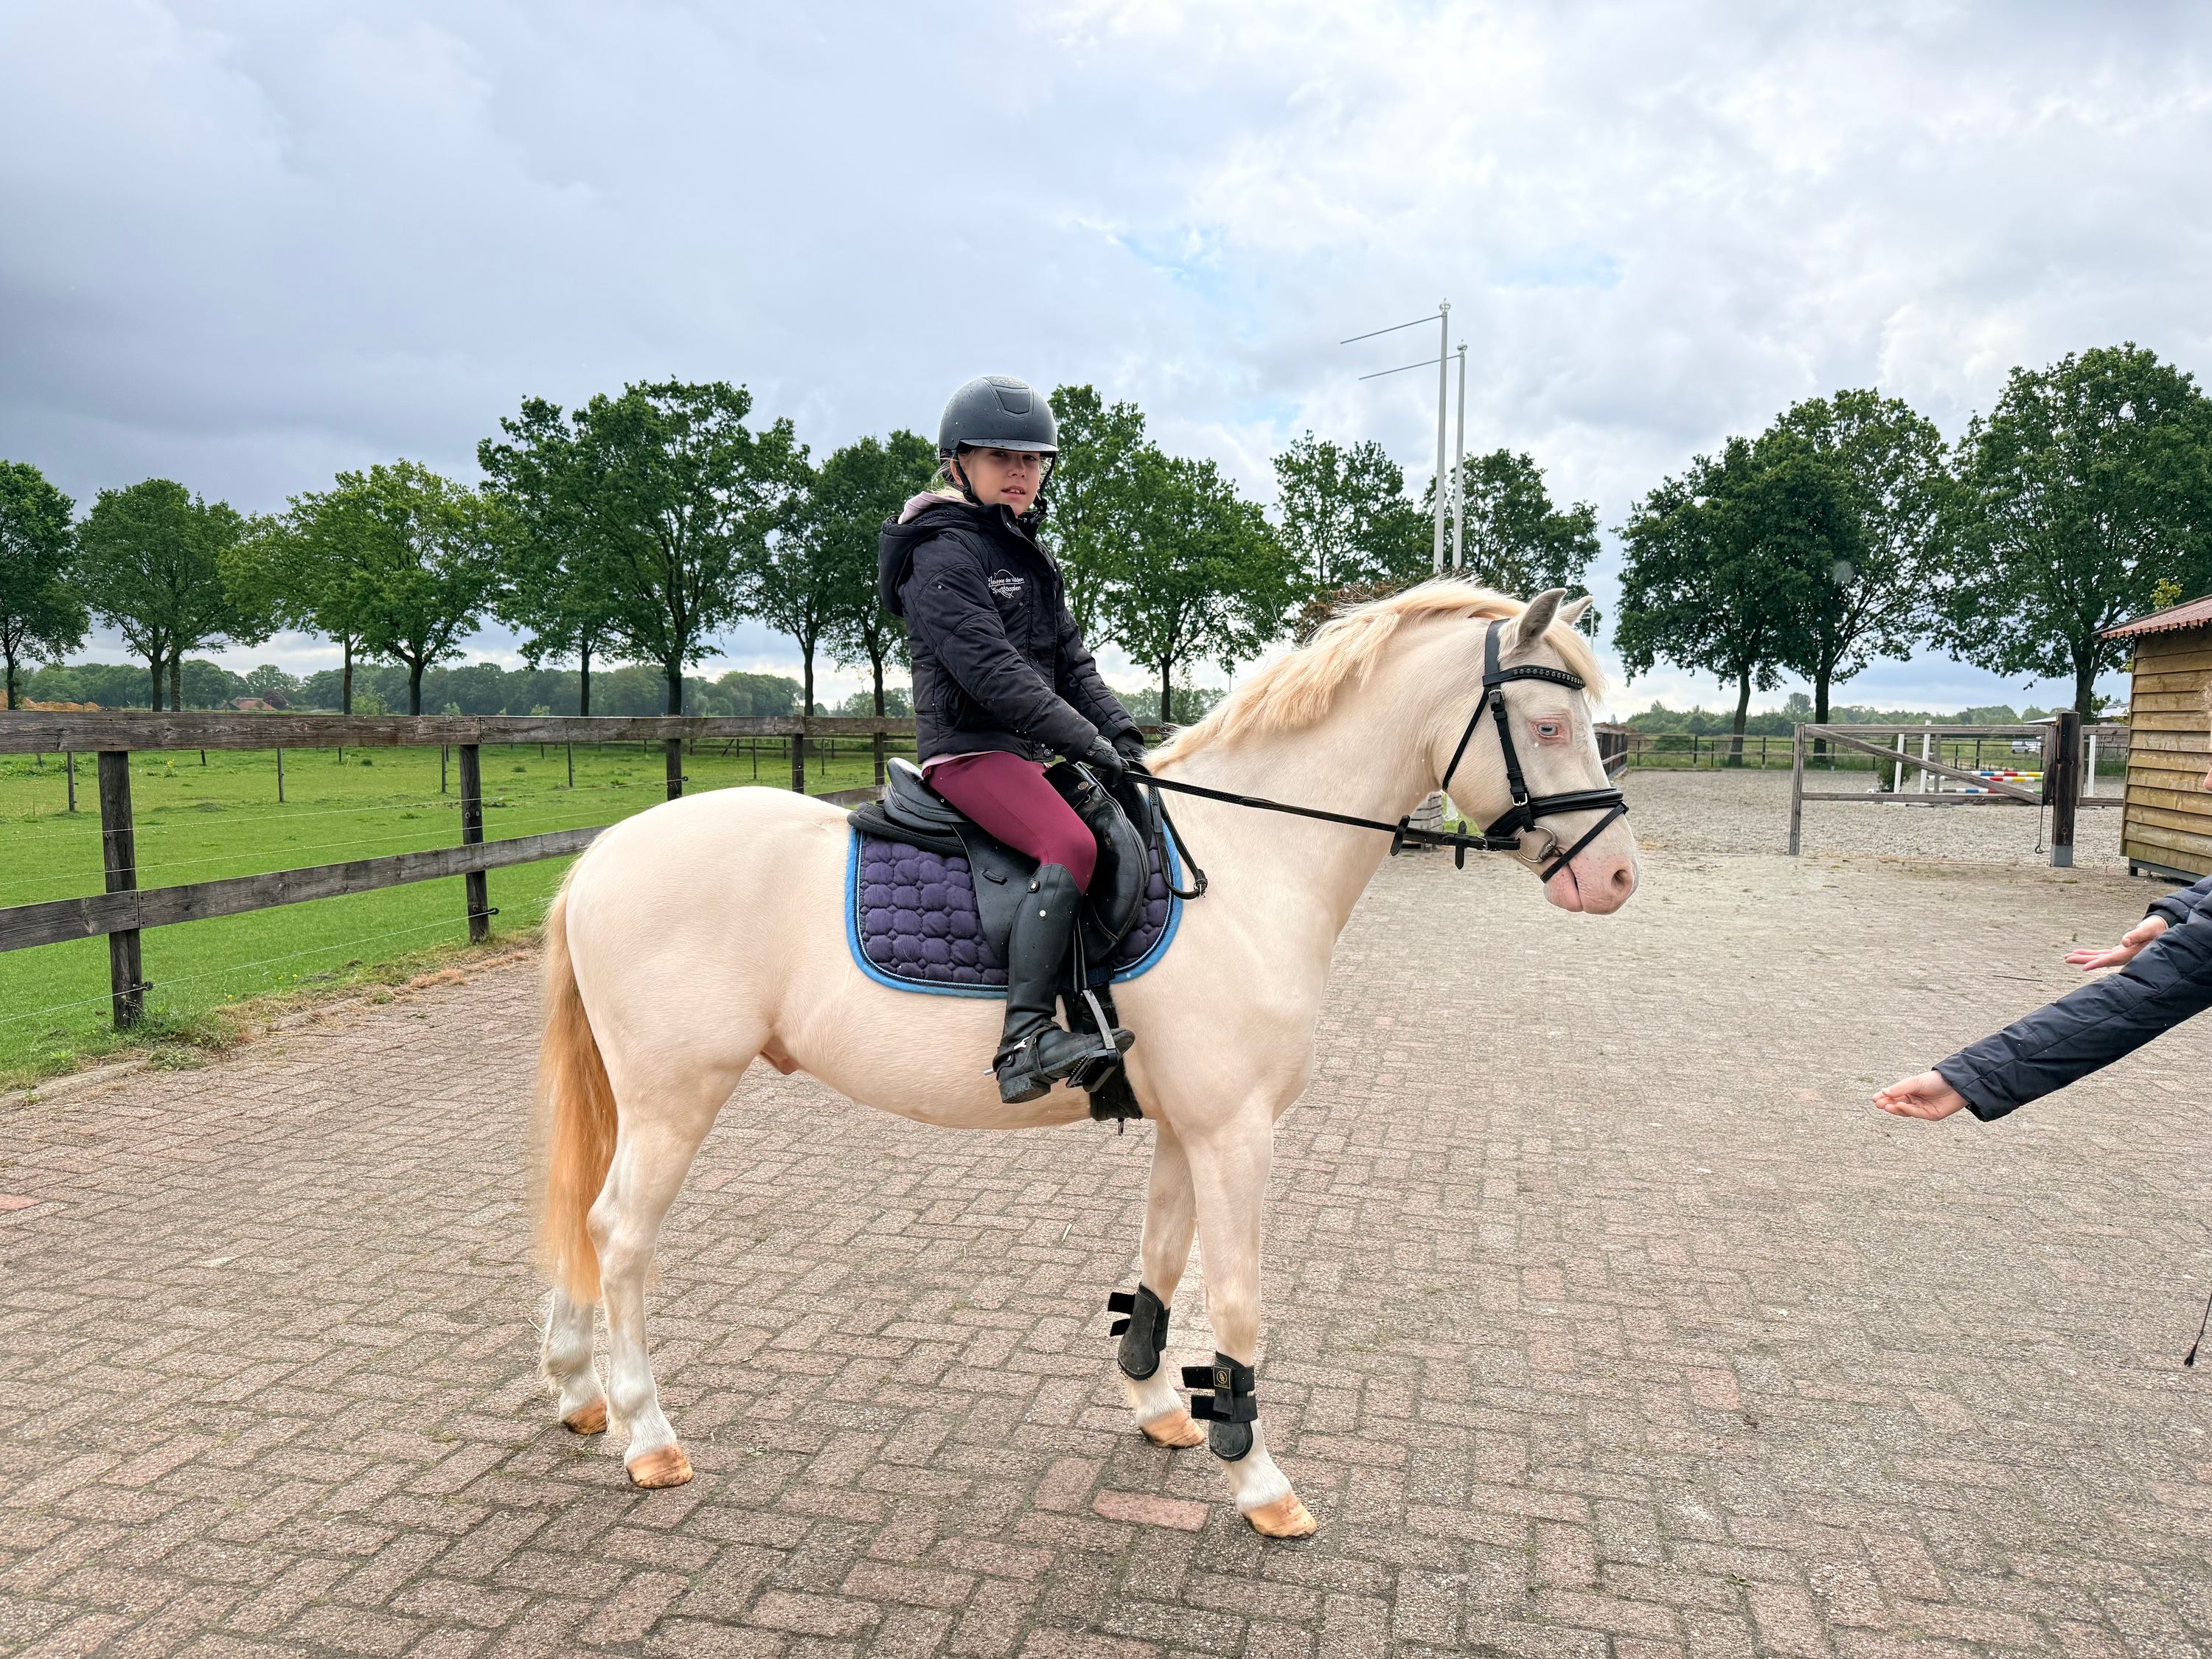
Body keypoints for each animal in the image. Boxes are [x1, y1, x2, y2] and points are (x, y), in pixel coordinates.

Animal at [531, 582, 1640, 1537]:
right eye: (1549, 726)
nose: (1618, 877)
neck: (1245, 866)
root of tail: (601, 854)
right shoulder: (1236, 1133)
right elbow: (1239, 1301)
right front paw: (1259, 1477)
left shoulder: (1190, 1126)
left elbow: (1161, 1263)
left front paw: (1159, 1402)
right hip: (675, 1097)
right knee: (620, 1232)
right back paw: (649, 1433)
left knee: (586, 1221)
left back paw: (583, 1393)